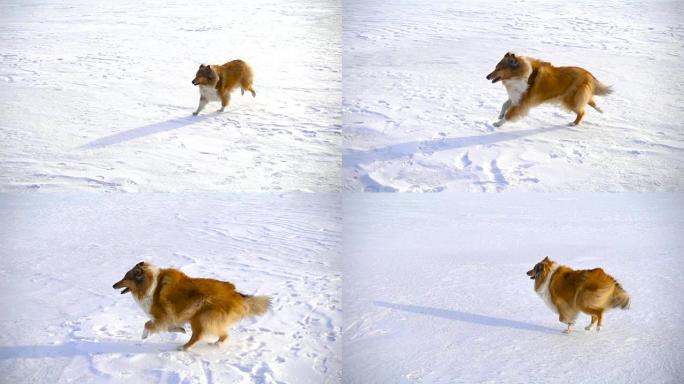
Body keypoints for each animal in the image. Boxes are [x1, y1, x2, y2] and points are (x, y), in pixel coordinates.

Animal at [113, 262, 272, 350]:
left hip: (201, 316)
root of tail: (235, 293)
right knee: (224, 334)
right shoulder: (169, 317)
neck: (149, 284)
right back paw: (216, 345)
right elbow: (168, 326)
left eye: (126, 278)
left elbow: (147, 324)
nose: (113, 285)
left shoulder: (162, 316)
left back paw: (184, 348)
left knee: (198, 336)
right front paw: (180, 329)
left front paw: (144, 335)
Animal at [484, 52, 612, 127]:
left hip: (570, 100)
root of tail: (588, 74)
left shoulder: (522, 102)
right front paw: (500, 115)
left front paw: (497, 123)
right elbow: (504, 104)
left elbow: (509, 114)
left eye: (499, 69)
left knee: (582, 111)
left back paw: (574, 124)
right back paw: (601, 110)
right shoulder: (516, 96)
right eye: (496, 67)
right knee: (590, 101)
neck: (519, 74)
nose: (487, 77)